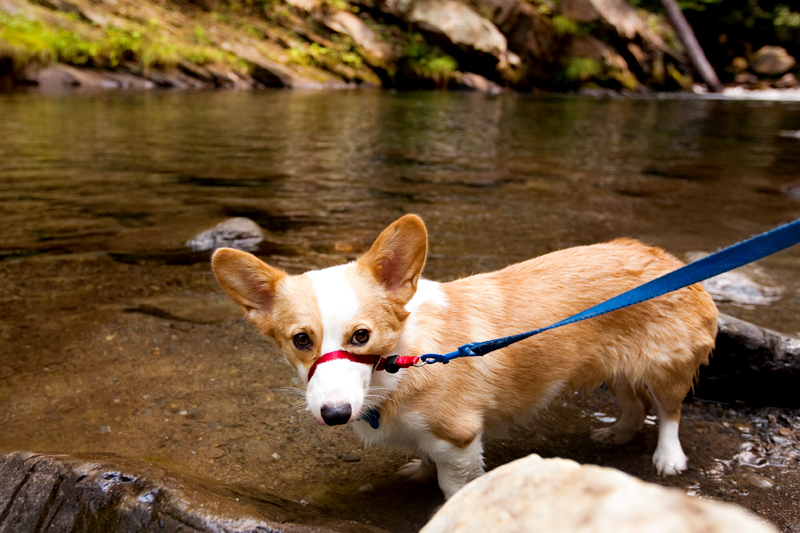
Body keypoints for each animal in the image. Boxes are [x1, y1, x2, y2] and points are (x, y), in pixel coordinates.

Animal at [211, 213, 720, 498]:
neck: (401, 360)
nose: (334, 414)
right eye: (301, 340)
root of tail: (672, 262)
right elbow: (425, 457)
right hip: (614, 369)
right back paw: (616, 435)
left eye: (361, 336)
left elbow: (452, 485)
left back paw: (668, 458)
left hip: (666, 368)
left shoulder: (458, 438)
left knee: (669, 411)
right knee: (635, 404)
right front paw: (418, 468)